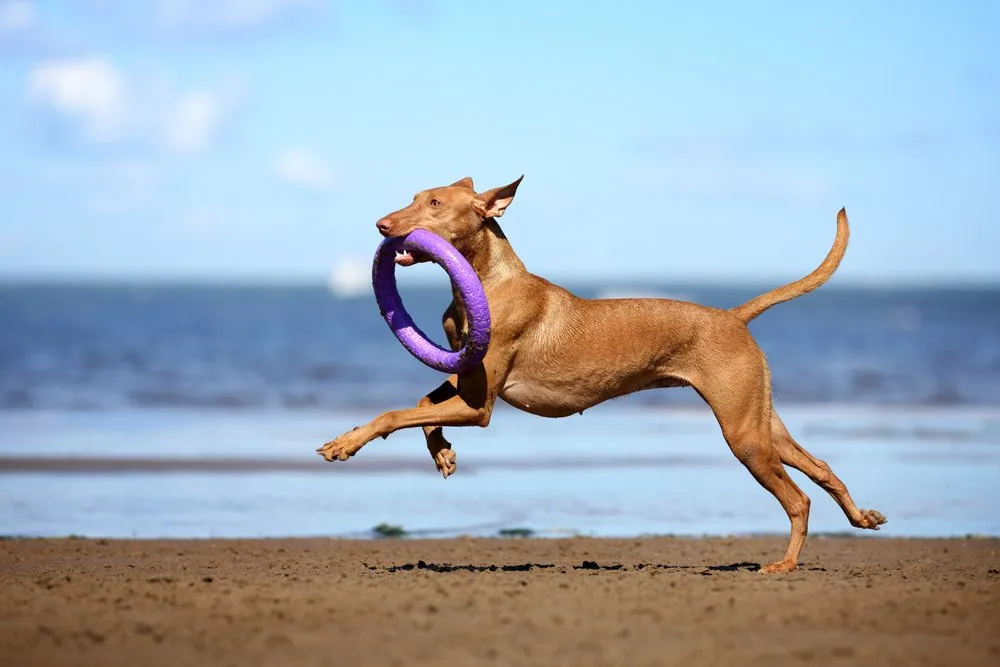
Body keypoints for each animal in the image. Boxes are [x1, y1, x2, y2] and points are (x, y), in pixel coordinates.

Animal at [316, 176, 888, 576]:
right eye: (414, 196)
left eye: (434, 204)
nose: (382, 226)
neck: (486, 281)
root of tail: (732, 316)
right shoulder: (464, 380)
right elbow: (419, 405)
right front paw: (442, 454)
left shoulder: (479, 407)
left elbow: (395, 413)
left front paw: (346, 444)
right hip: (762, 423)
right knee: (822, 469)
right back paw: (861, 518)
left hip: (744, 435)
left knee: (798, 498)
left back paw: (786, 564)